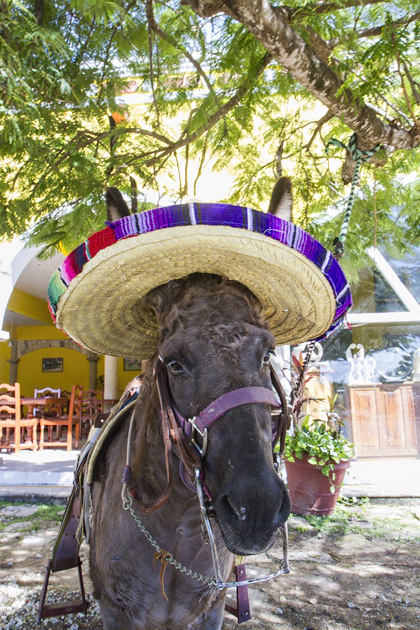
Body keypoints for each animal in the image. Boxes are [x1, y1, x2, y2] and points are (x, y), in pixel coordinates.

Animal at [87, 180, 294, 628]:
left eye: (267, 353)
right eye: (174, 363)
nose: (258, 506)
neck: (175, 536)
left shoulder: (211, 609)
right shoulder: (116, 612)